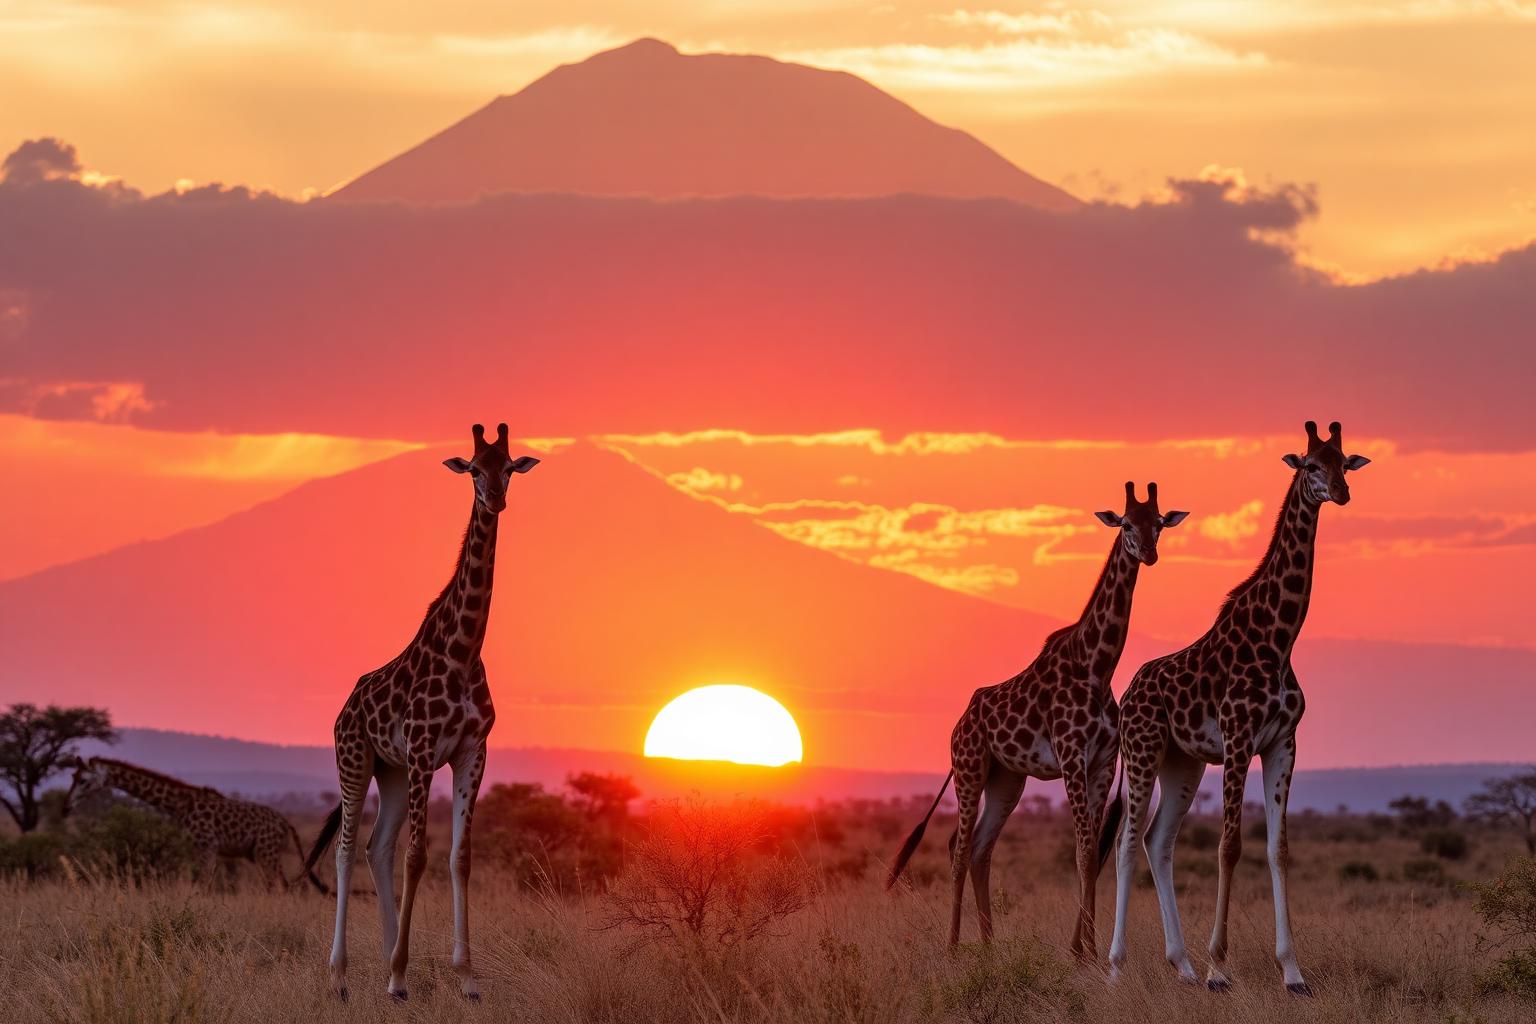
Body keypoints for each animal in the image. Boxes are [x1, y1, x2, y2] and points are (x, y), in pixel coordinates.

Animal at [61, 755, 326, 891]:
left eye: (83, 780)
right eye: (73, 777)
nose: (66, 807)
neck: (179, 804)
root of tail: (285, 822)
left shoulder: (207, 846)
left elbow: (203, 884)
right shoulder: (194, 848)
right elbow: (196, 883)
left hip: (266, 853)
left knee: (276, 886)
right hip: (264, 854)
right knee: (283, 885)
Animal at [304, 423, 539, 1002]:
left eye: (509, 468)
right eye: (473, 469)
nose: (496, 499)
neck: (464, 651)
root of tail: (345, 706)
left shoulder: (472, 752)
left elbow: (459, 856)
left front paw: (465, 979)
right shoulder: (425, 748)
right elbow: (418, 856)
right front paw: (396, 974)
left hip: (390, 771)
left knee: (376, 847)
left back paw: (396, 969)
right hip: (355, 759)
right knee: (347, 849)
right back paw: (343, 976)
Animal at [887, 482, 1188, 960]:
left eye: (1158, 523)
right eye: (1125, 523)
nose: (1149, 553)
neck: (1097, 666)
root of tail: (959, 723)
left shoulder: (1102, 762)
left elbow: (1092, 850)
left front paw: (1087, 948)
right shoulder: (1071, 756)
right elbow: (1083, 848)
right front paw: (1083, 950)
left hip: (1007, 779)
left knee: (980, 847)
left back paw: (989, 946)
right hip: (969, 769)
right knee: (958, 847)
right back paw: (952, 946)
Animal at [1105, 421, 1370, 995]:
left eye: (1343, 462)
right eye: (1310, 465)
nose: (1341, 492)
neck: (1279, 638)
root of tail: (1128, 694)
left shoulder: (1283, 743)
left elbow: (1278, 848)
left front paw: (1293, 973)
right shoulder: (1238, 738)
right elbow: (1229, 846)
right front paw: (1219, 967)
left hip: (1181, 763)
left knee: (1159, 841)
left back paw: (1180, 964)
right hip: (1142, 752)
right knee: (1127, 841)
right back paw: (1117, 967)